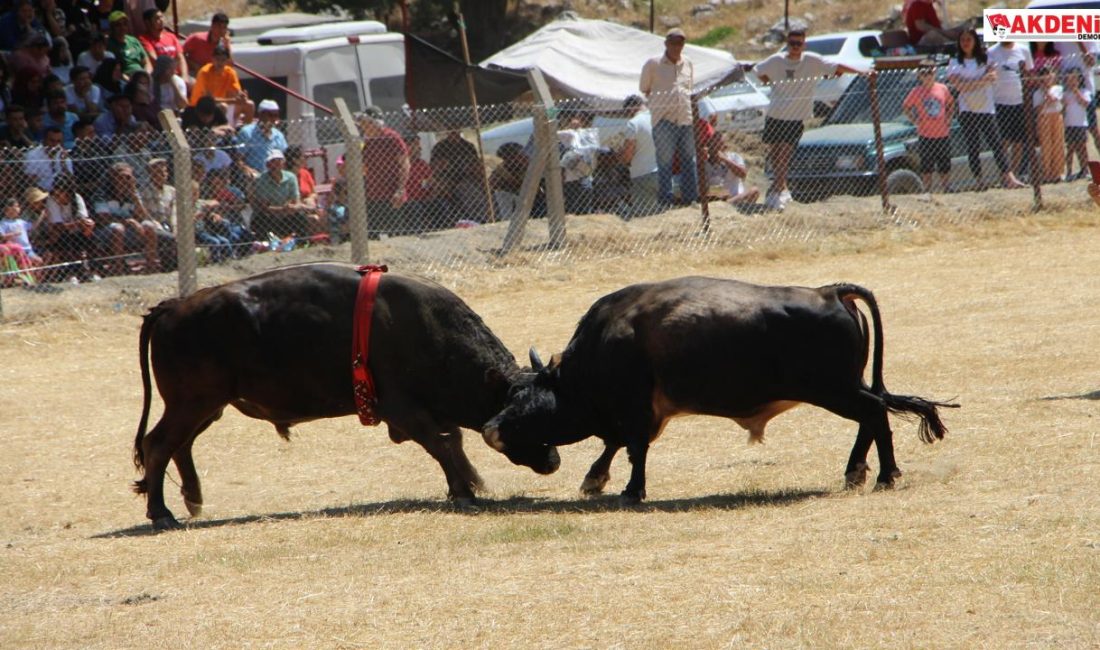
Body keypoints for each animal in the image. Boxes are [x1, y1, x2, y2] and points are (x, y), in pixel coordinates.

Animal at [135, 262, 558, 527]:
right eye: (522, 417)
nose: (553, 461)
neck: (419, 326)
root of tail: (173, 306)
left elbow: (450, 440)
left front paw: (470, 482)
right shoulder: (401, 408)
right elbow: (441, 443)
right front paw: (464, 490)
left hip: (207, 406)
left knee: (180, 446)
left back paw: (192, 498)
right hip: (192, 403)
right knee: (158, 445)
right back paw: (161, 513)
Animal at [486, 276, 959, 503]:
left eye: (526, 401)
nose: (491, 429)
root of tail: (830, 291)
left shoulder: (637, 408)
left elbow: (632, 446)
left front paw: (630, 490)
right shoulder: (641, 412)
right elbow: (617, 443)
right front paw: (595, 479)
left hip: (834, 389)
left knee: (875, 414)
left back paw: (884, 475)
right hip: (845, 386)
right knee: (871, 415)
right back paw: (856, 471)